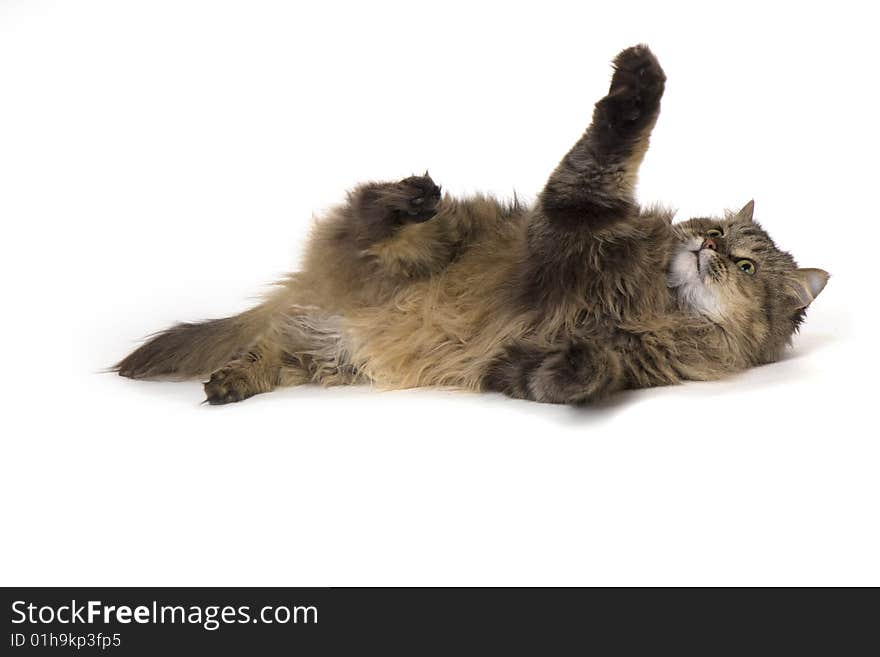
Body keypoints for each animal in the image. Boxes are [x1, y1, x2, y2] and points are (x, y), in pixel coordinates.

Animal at [113, 46, 828, 402]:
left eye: (744, 266)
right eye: (716, 231)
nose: (706, 242)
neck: (656, 298)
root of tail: (312, 293)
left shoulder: (629, 359)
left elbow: (569, 378)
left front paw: (554, 370)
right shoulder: (571, 216)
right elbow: (612, 145)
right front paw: (639, 75)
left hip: (323, 358)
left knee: (269, 351)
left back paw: (232, 381)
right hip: (413, 245)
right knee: (365, 213)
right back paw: (411, 196)